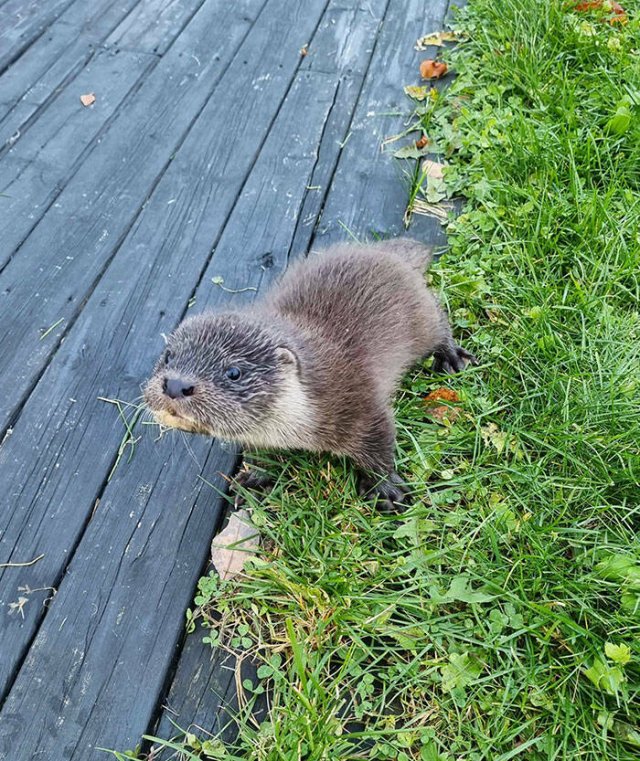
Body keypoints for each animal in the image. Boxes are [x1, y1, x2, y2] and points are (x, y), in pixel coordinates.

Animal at [145, 238, 476, 510]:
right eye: (168, 356)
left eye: (234, 372)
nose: (176, 385)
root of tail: (385, 252)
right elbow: (259, 454)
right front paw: (254, 479)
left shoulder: (363, 407)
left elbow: (380, 449)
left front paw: (385, 490)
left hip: (423, 318)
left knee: (440, 322)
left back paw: (451, 357)